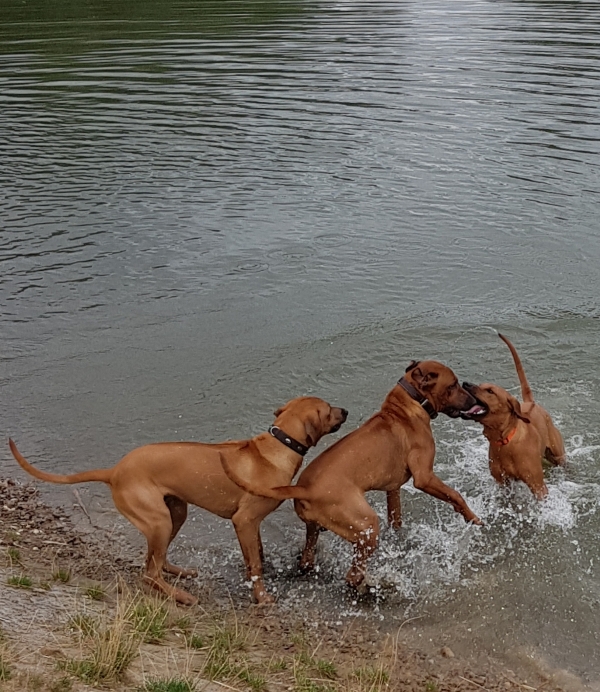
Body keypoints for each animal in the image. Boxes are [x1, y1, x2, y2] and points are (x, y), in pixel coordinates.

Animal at [9, 396, 348, 605]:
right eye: (329, 408)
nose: (346, 411)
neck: (279, 446)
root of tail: (115, 470)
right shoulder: (245, 520)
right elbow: (256, 564)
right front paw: (262, 597)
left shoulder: (248, 526)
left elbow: (256, 555)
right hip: (157, 519)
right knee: (149, 572)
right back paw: (180, 596)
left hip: (174, 512)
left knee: (155, 561)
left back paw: (178, 572)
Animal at [222, 361, 483, 591]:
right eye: (453, 385)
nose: (474, 400)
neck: (407, 408)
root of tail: (305, 488)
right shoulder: (425, 477)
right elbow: (456, 496)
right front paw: (474, 519)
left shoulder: (393, 489)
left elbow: (396, 517)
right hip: (366, 525)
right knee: (352, 575)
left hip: (316, 529)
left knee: (308, 559)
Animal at [461, 333, 566, 499]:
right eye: (480, 385)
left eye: (490, 391)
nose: (465, 383)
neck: (504, 440)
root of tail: (530, 402)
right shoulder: (502, 483)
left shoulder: (538, 486)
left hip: (558, 455)